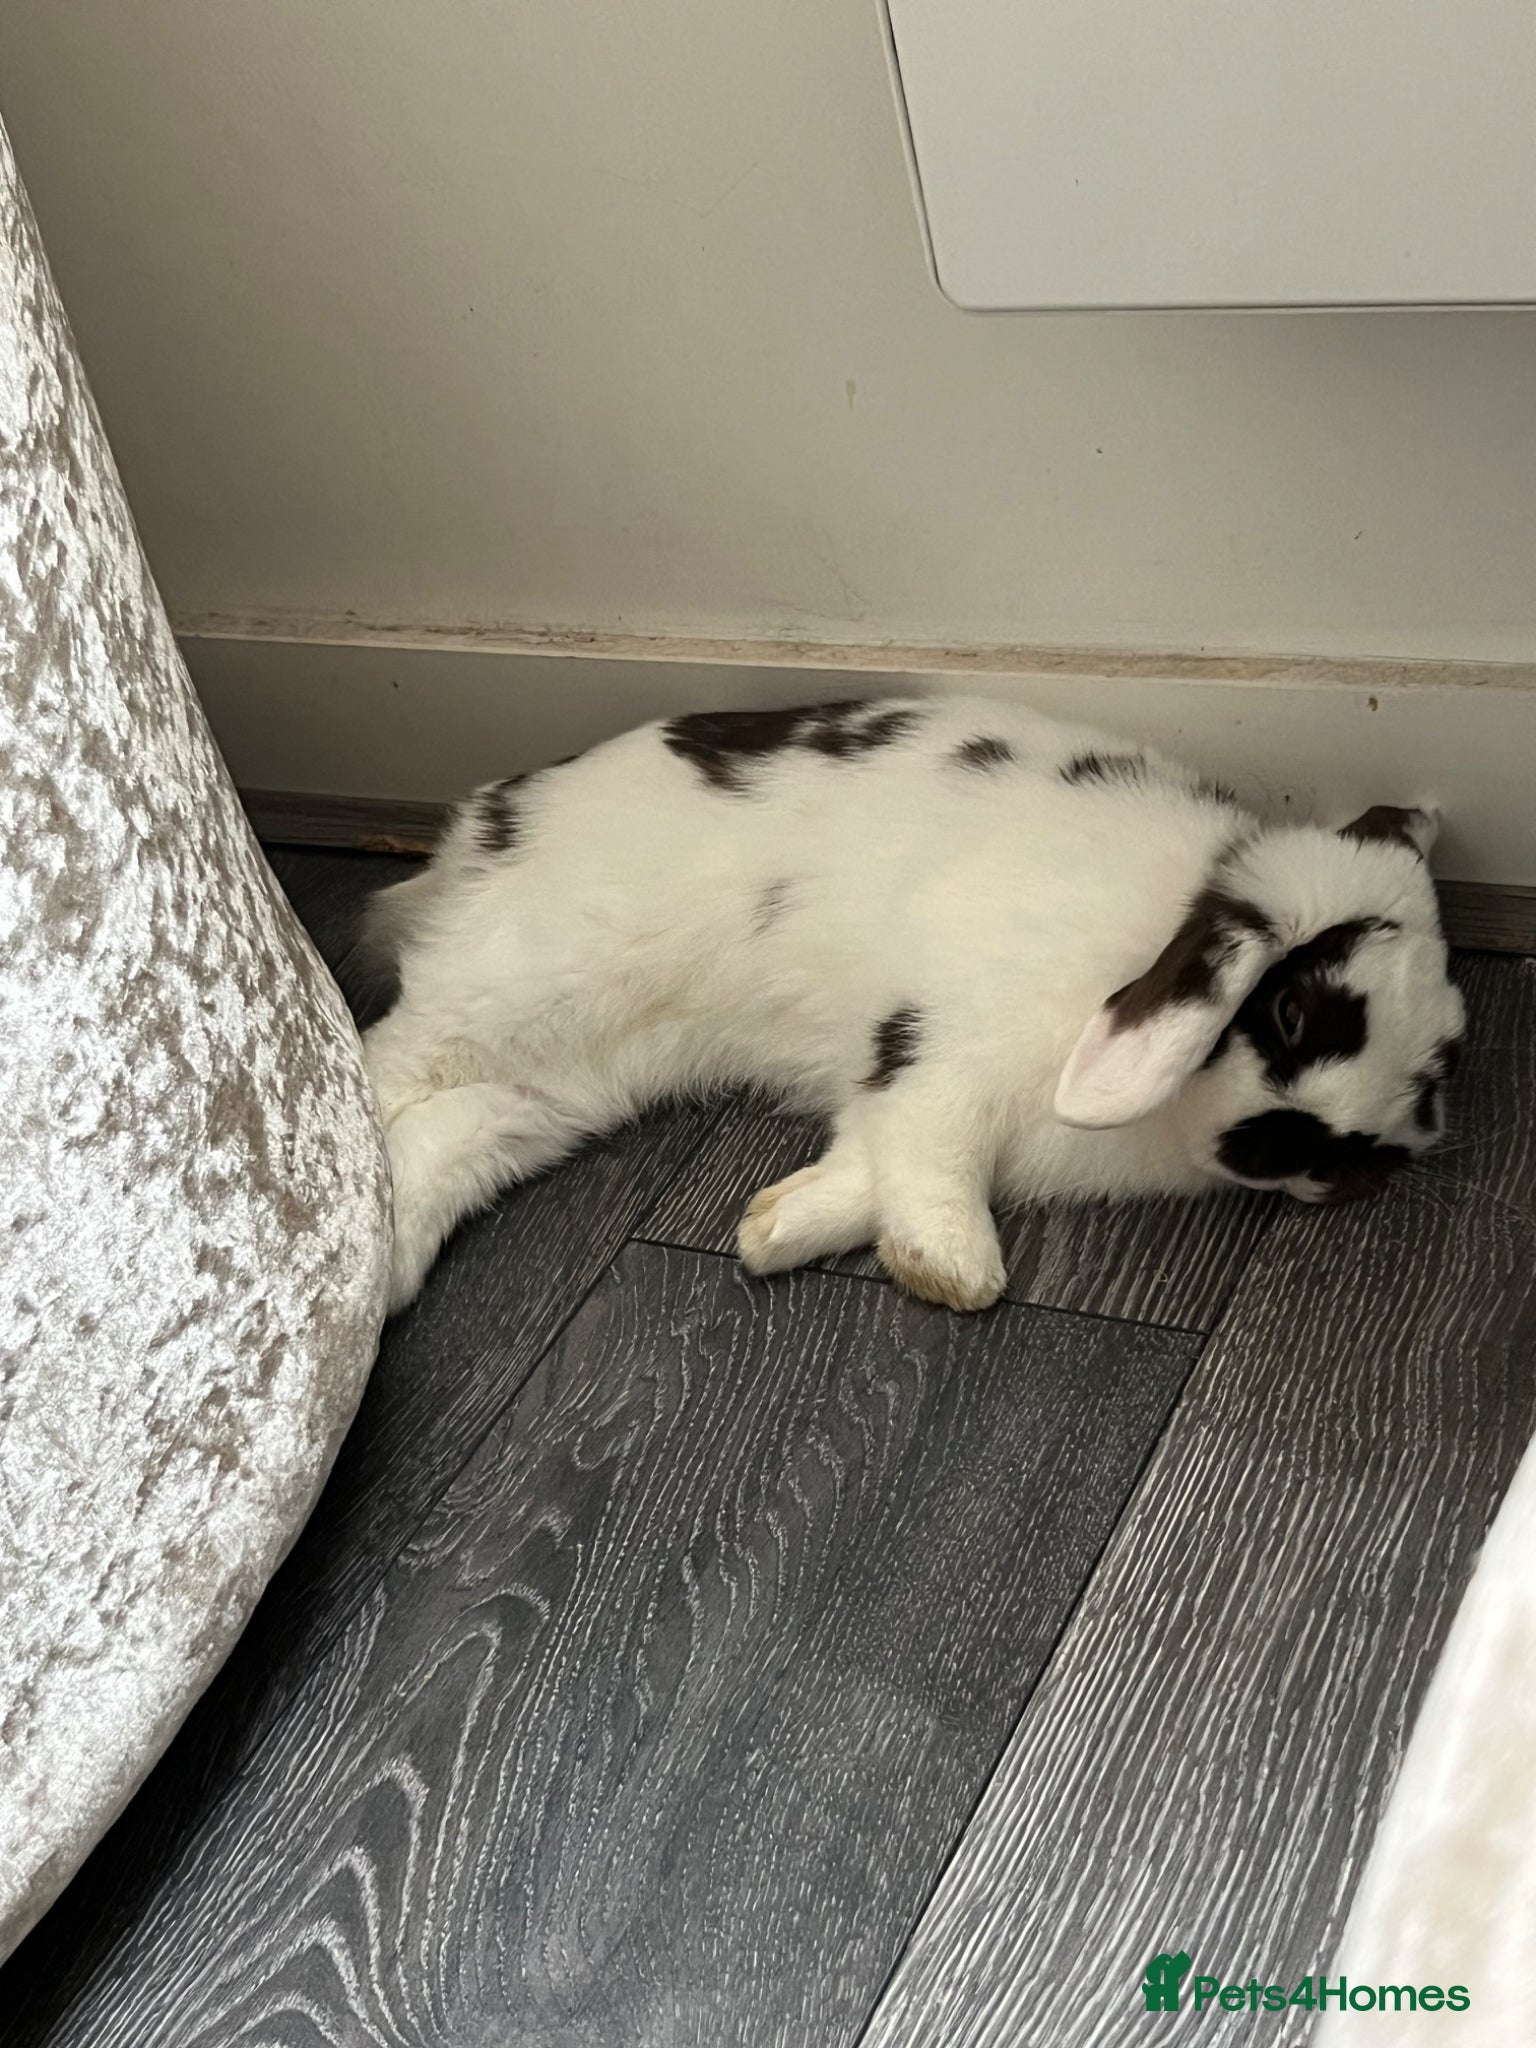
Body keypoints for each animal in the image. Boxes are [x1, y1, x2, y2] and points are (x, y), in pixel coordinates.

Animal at [362, 694, 1465, 1316]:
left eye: (1436, 1073)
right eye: (1292, 1015)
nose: (1313, 1156)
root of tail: (483, 825)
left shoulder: (893, 1095)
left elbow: (867, 1161)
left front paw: (772, 1231)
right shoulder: (946, 1044)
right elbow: (935, 1148)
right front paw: (951, 1271)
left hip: (572, 1083)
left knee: (448, 1135)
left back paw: (387, 1269)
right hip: (524, 990)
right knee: (384, 1071)